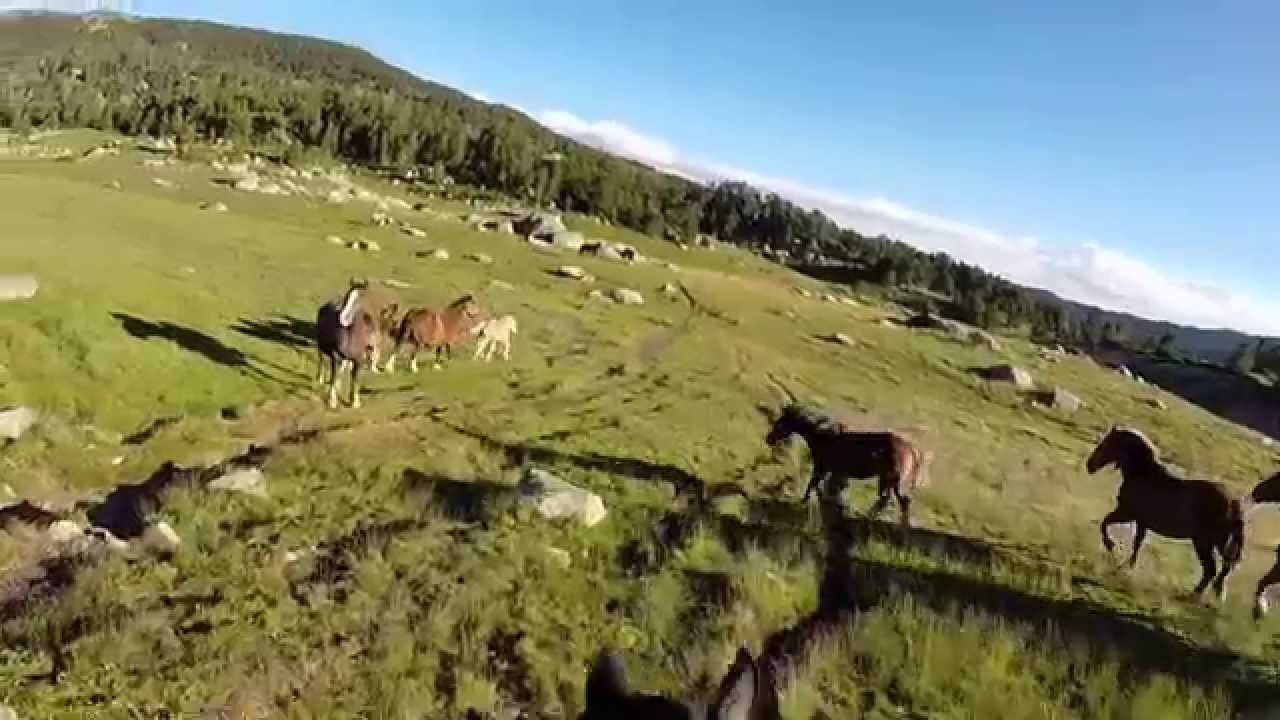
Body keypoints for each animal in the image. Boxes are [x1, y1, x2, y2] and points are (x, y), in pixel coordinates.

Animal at [763, 403, 931, 526]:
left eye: (780, 422)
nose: (768, 439)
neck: (822, 437)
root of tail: (912, 449)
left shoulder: (821, 468)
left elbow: (813, 485)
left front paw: (801, 503)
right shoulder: (833, 472)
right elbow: (824, 488)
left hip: (892, 479)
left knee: (899, 501)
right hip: (887, 480)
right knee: (888, 500)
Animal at [1085, 425, 1245, 600]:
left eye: (1107, 443)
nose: (1089, 465)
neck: (1143, 474)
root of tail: (1233, 502)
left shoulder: (1128, 513)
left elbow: (1105, 523)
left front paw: (1112, 547)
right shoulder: (1141, 521)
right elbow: (1136, 543)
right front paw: (1128, 566)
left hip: (1204, 542)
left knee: (1212, 569)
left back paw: (1192, 595)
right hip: (1217, 543)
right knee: (1223, 569)